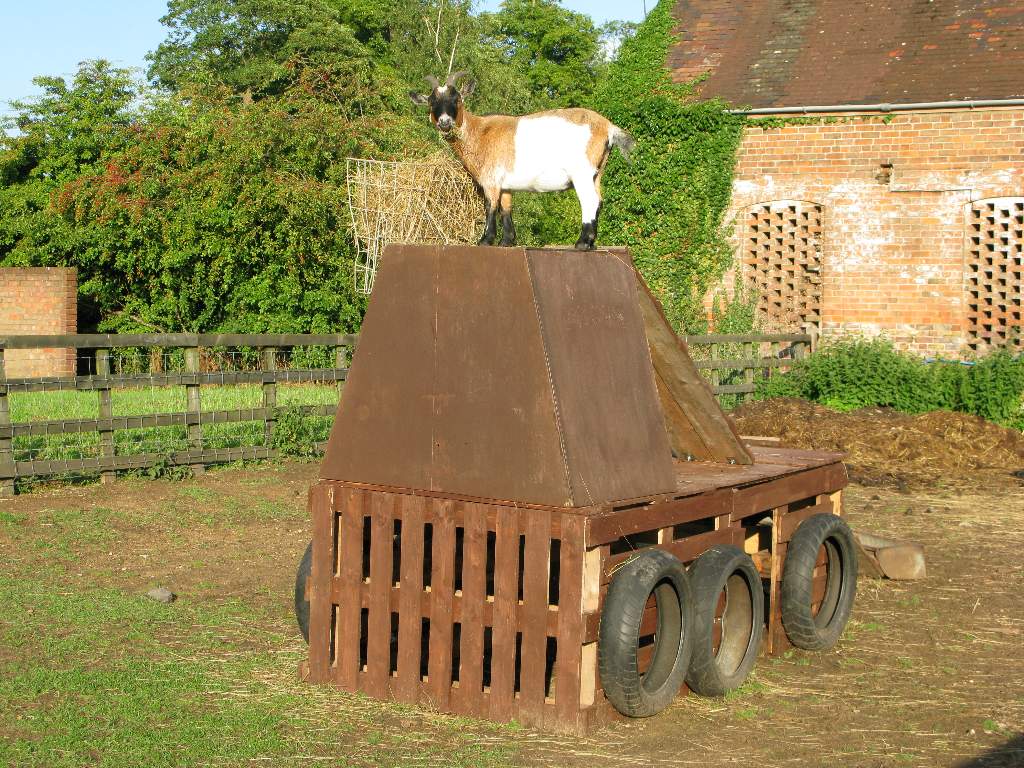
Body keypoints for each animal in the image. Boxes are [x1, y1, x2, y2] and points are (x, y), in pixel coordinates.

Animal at [411, 72, 634, 251]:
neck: (479, 132)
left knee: (589, 200)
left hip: (582, 172)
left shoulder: (491, 180)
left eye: (457, 99)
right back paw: (591, 242)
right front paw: (507, 241)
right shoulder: (505, 184)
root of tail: (608, 127)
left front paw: (485, 240)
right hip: (597, 172)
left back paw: (582, 243)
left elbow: (490, 205)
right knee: (599, 200)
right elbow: (505, 208)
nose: (445, 122)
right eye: (432, 102)